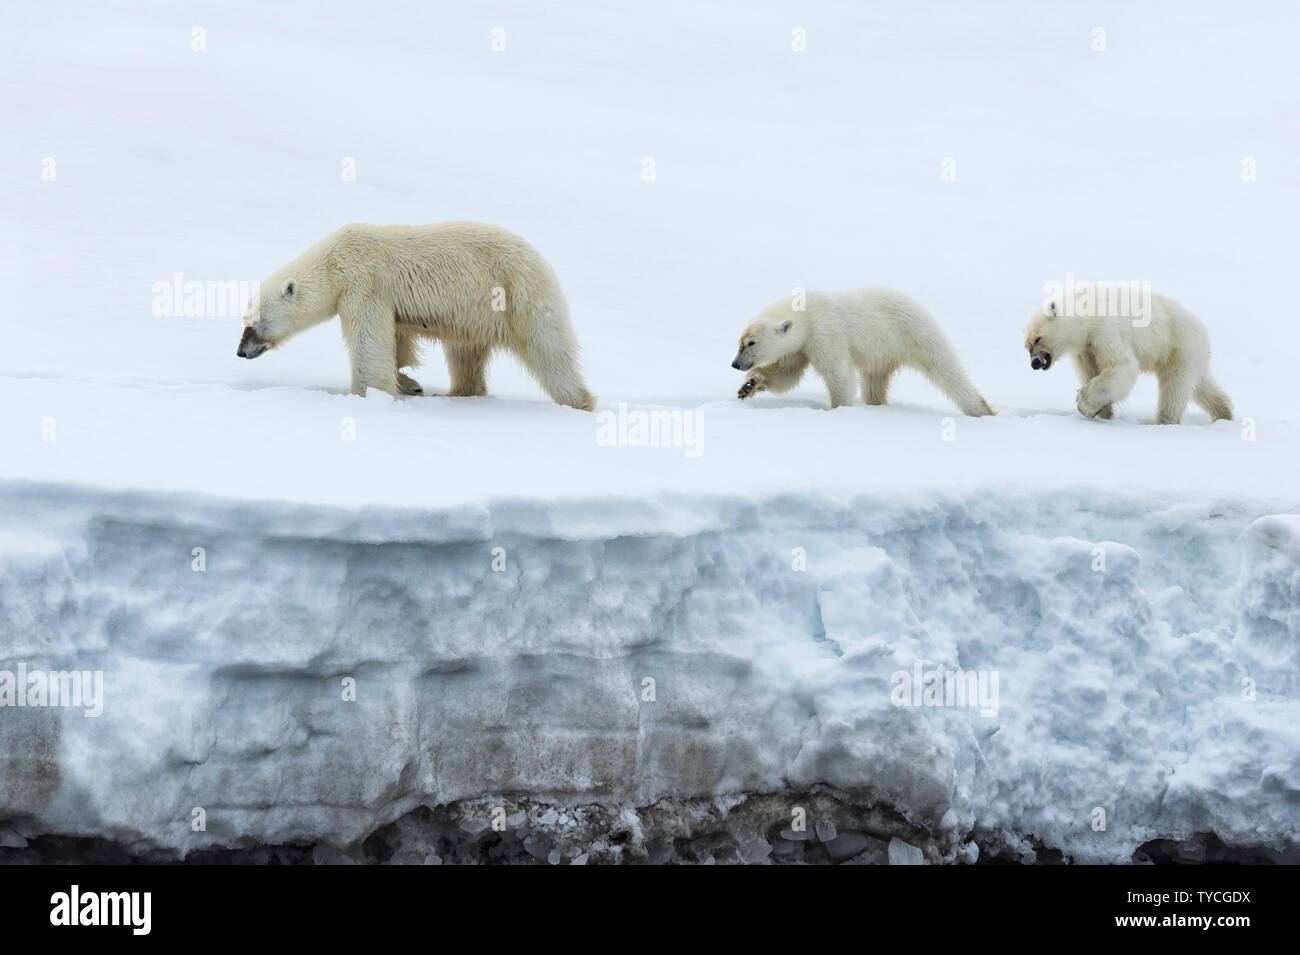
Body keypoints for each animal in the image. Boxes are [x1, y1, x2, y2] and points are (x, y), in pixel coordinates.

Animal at [237, 222, 597, 411]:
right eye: (244, 321)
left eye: (254, 324)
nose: (240, 352)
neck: (334, 261)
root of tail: (541, 259)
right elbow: (396, 342)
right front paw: (409, 384)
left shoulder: (365, 282)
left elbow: (369, 343)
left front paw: (367, 395)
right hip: (475, 317)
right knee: (464, 354)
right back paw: (455, 393)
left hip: (517, 294)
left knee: (548, 349)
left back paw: (579, 401)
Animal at [731, 288, 994, 416]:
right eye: (739, 342)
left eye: (751, 343)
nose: (735, 364)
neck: (805, 311)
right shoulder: (799, 346)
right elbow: (786, 374)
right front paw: (748, 386)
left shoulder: (825, 331)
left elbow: (837, 372)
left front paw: (839, 409)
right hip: (881, 356)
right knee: (874, 384)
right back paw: (877, 405)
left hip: (914, 335)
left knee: (947, 372)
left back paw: (981, 411)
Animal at [1023, 289, 1232, 424]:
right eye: (1027, 346)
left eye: (1038, 339)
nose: (1034, 363)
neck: (1087, 313)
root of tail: (1202, 329)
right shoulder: (1086, 349)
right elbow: (1090, 371)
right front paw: (1104, 412)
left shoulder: (1105, 329)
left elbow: (1121, 365)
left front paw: (1084, 403)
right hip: (1191, 353)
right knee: (1200, 384)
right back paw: (1224, 413)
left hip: (1178, 344)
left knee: (1174, 387)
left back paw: (1165, 421)